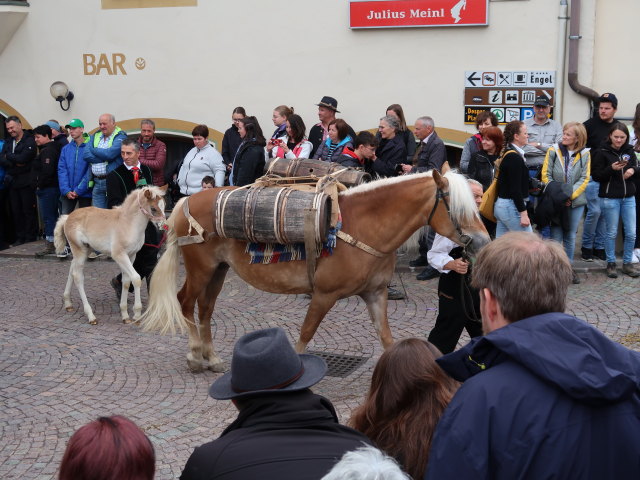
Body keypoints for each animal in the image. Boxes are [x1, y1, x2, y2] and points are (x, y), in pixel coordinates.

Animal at [141, 169, 490, 372]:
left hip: (219, 270)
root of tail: (185, 202)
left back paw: (211, 357)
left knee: (205, 308)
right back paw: (194, 356)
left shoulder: (375, 294)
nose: (483, 241)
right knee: (186, 303)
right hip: (201, 269)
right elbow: (305, 336)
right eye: (457, 206)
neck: (362, 226)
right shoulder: (324, 295)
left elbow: (387, 339)